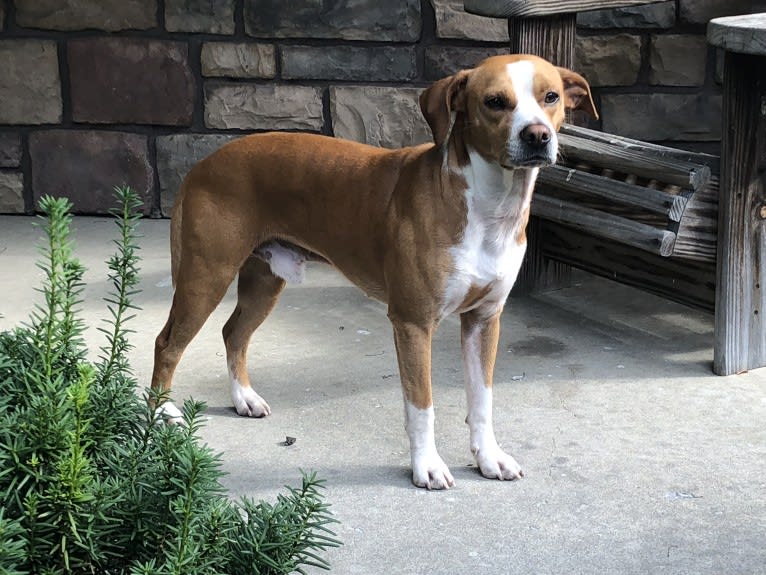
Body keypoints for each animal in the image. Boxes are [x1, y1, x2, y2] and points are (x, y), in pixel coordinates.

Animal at [152, 55, 600, 490]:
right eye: (494, 101)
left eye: (550, 96)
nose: (537, 135)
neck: (488, 207)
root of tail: (204, 163)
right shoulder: (413, 323)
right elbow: (422, 405)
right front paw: (427, 467)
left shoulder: (484, 320)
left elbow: (482, 400)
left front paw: (489, 457)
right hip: (206, 276)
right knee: (167, 344)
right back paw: (161, 416)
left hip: (265, 281)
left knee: (234, 333)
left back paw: (243, 398)